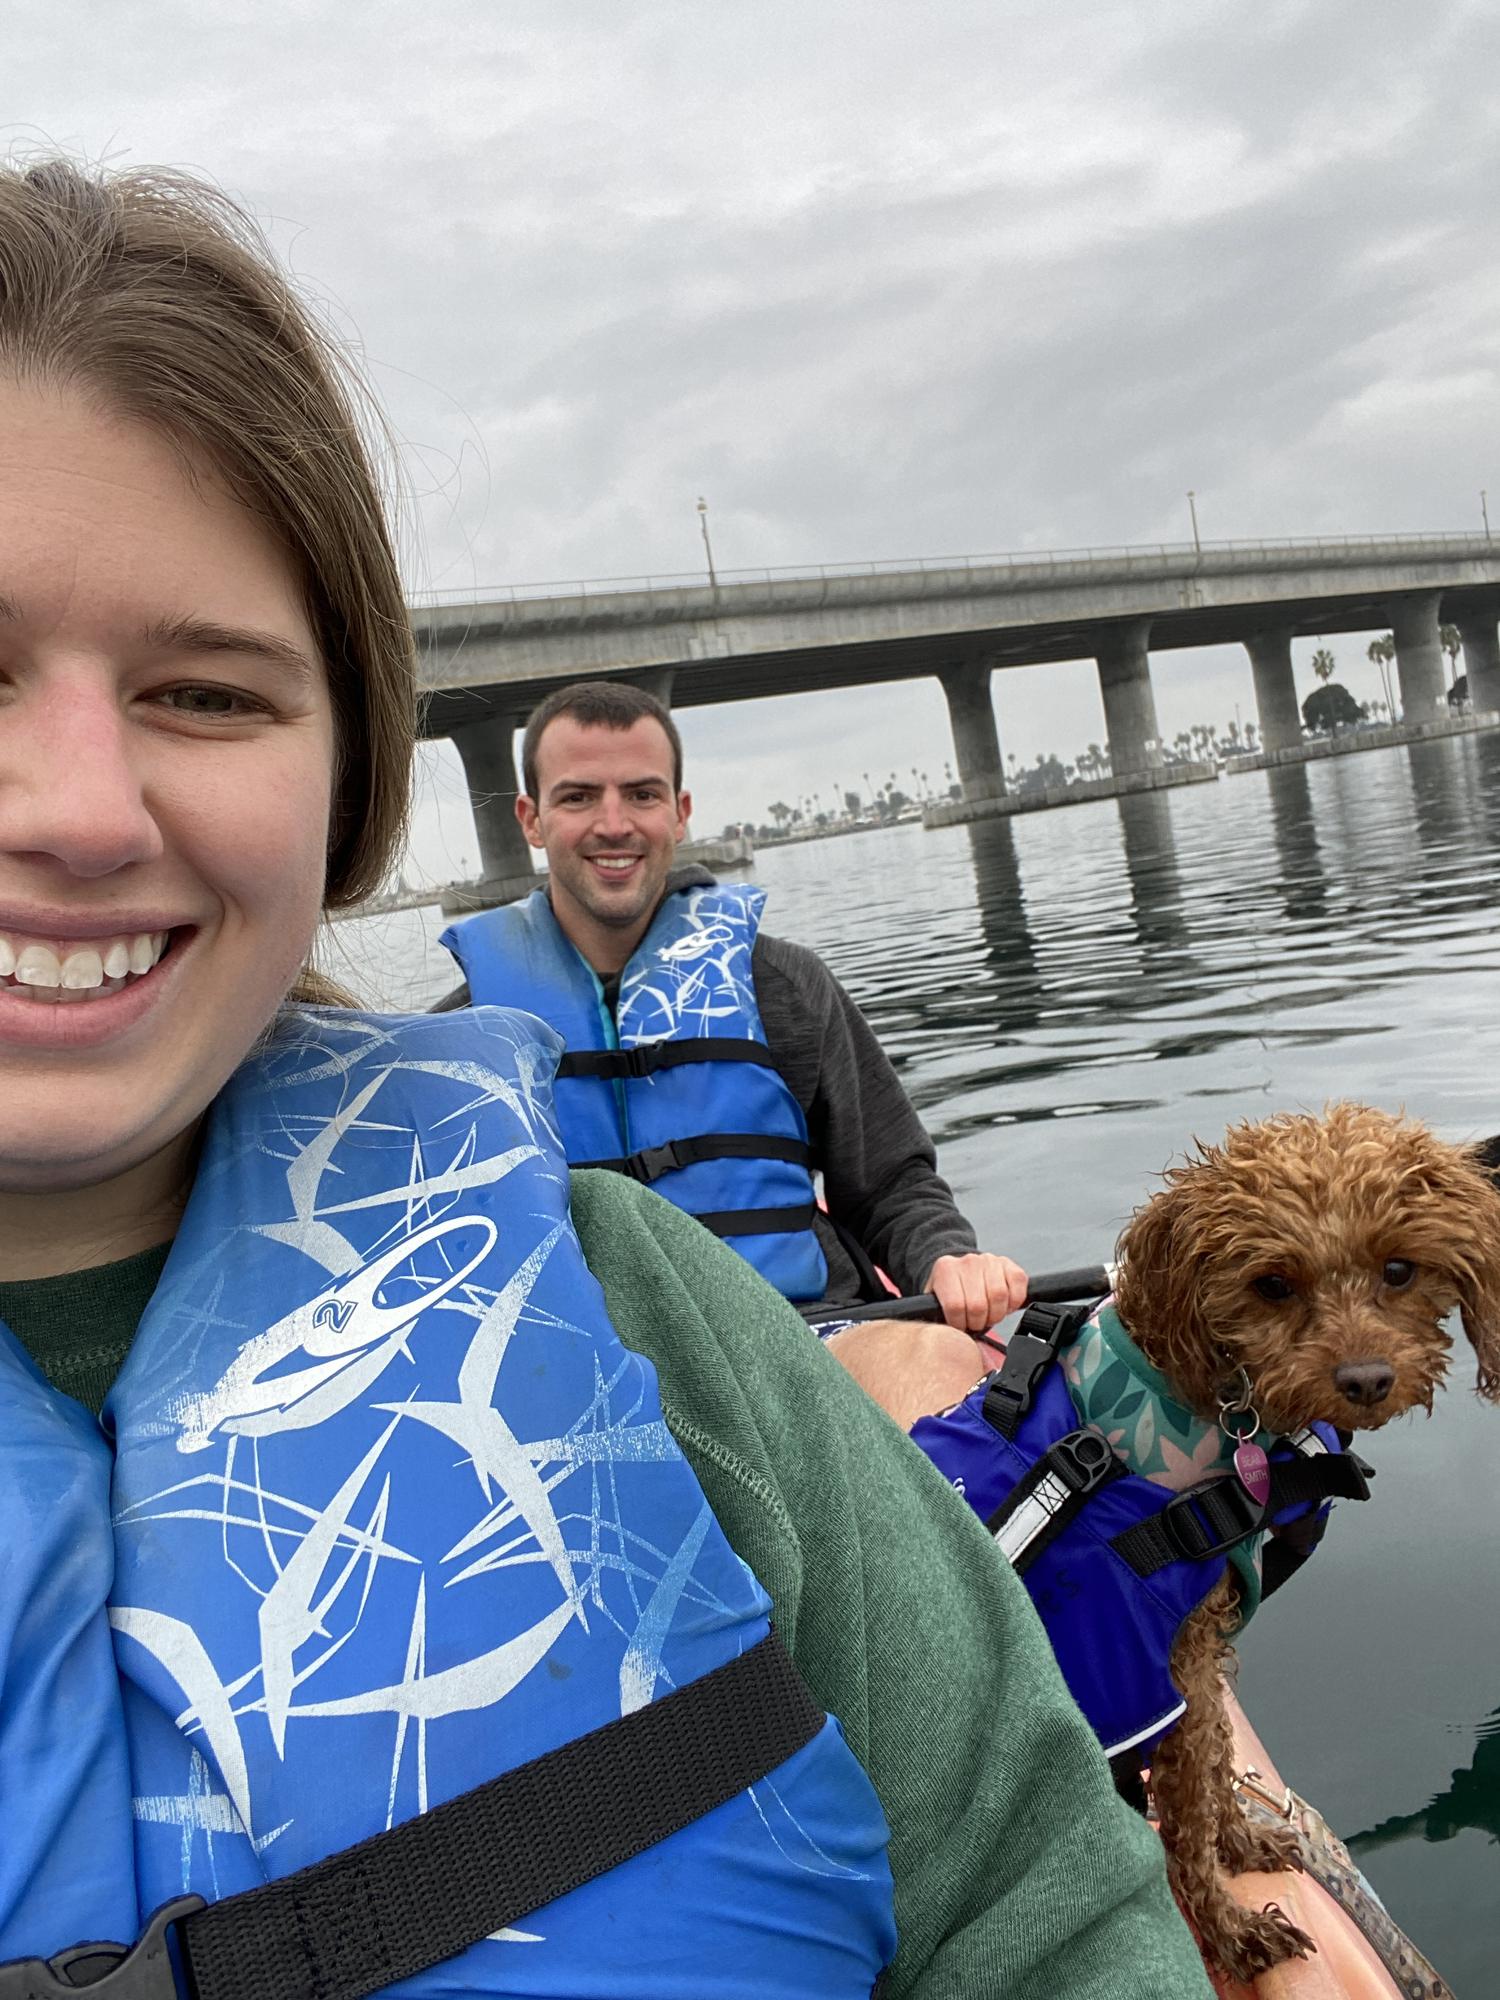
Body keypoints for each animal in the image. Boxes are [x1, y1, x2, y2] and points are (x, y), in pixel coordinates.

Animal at [828, 1112, 1500, 1984]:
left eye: (1398, 1269)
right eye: (1272, 1284)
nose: (1365, 1379)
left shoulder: (1200, 1642)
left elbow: (1215, 1760)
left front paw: (1242, 1844)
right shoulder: (1158, 1660)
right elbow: (1185, 1815)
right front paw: (1232, 1933)